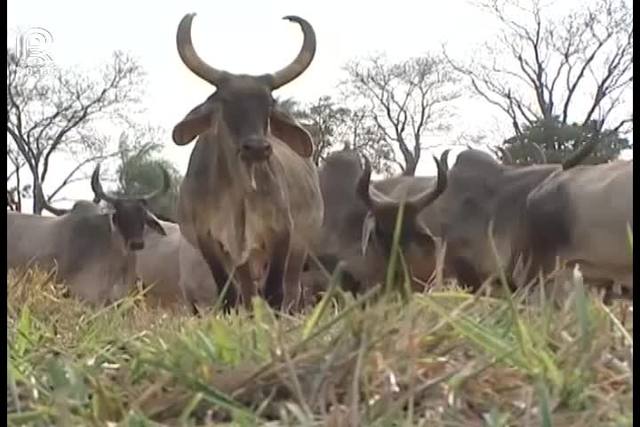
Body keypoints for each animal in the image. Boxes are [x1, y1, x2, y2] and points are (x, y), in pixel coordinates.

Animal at [170, 13, 322, 312]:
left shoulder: (282, 233)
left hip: (297, 249)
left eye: (268, 104)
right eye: (225, 101)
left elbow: (275, 292)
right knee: (249, 293)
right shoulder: (209, 240)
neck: (237, 193)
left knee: (291, 290)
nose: (257, 148)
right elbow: (229, 295)